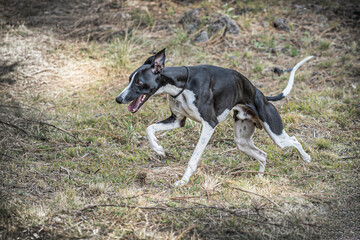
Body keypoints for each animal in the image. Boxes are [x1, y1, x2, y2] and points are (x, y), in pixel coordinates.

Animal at [116, 48, 312, 187]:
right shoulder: (177, 120)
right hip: (241, 141)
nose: (118, 99)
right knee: (263, 155)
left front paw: (183, 181)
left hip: (276, 134)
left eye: (139, 82)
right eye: (129, 79)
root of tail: (261, 95)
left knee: (294, 140)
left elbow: (194, 158)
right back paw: (260, 177)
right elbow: (149, 128)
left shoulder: (210, 124)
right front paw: (158, 149)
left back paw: (306, 159)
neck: (184, 82)